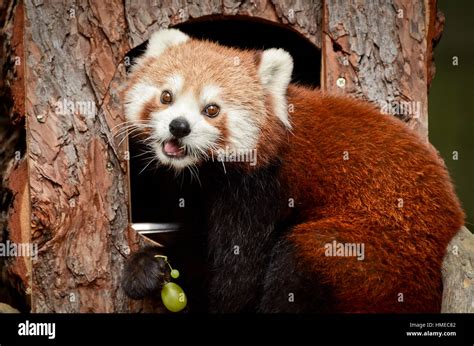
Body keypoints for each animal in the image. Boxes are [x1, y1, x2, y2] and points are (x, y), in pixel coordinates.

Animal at [120, 28, 464, 312]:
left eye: (212, 110)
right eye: (167, 96)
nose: (179, 127)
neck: (206, 173)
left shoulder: (259, 193)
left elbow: (236, 281)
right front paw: (147, 269)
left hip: (377, 255)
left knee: (299, 261)